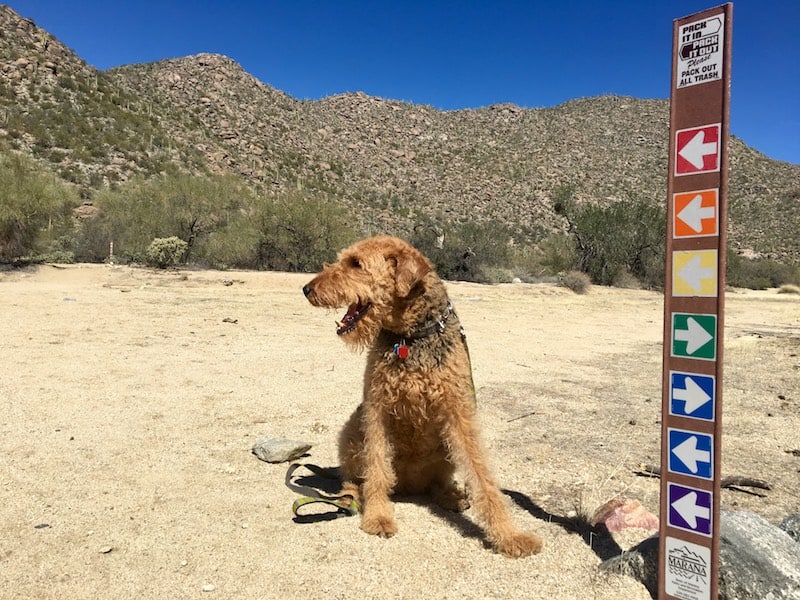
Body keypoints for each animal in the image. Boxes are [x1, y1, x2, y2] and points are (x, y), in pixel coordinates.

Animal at [302, 236, 544, 556]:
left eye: (356, 263)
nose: (307, 289)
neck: (409, 337)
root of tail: (409, 485)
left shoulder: (459, 413)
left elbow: (483, 476)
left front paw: (510, 535)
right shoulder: (377, 408)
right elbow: (377, 469)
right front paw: (378, 517)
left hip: (443, 447)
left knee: (436, 484)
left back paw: (452, 496)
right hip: (354, 427)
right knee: (357, 477)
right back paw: (353, 495)